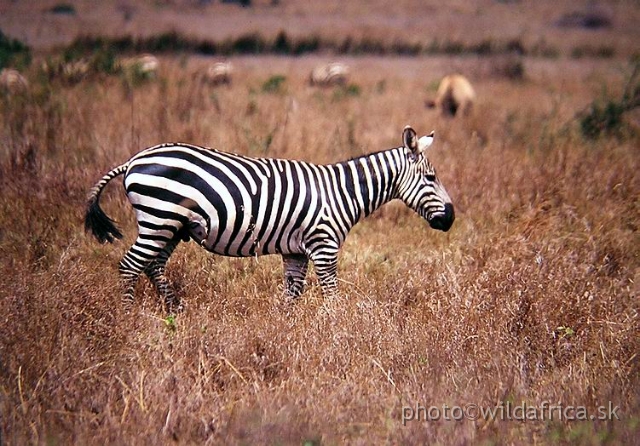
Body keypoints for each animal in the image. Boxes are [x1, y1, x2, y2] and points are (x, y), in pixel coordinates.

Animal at [86, 125, 456, 310]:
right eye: (431, 178)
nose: (451, 219)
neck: (342, 192)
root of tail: (134, 159)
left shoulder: (295, 251)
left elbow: (292, 294)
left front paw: (287, 330)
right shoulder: (324, 245)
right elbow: (331, 293)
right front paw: (337, 330)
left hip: (171, 225)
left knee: (153, 265)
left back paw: (175, 310)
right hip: (159, 217)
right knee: (130, 266)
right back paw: (129, 316)